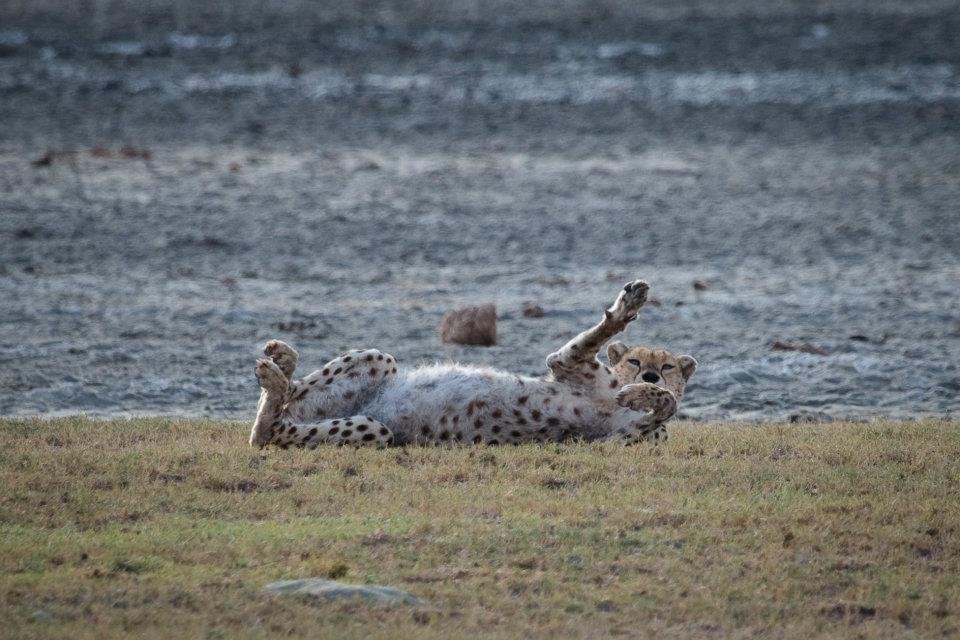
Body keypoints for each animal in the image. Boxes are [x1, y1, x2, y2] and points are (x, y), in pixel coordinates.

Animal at [250, 279, 697, 449]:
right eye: (636, 360)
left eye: (668, 368)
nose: (651, 374)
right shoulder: (567, 363)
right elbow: (599, 333)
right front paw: (629, 304)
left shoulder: (608, 444)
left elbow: (668, 405)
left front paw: (645, 395)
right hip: (381, 361)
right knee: (285, 403)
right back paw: (281, 363)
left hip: (375, 431)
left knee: (267, 433)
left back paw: (274, 376)